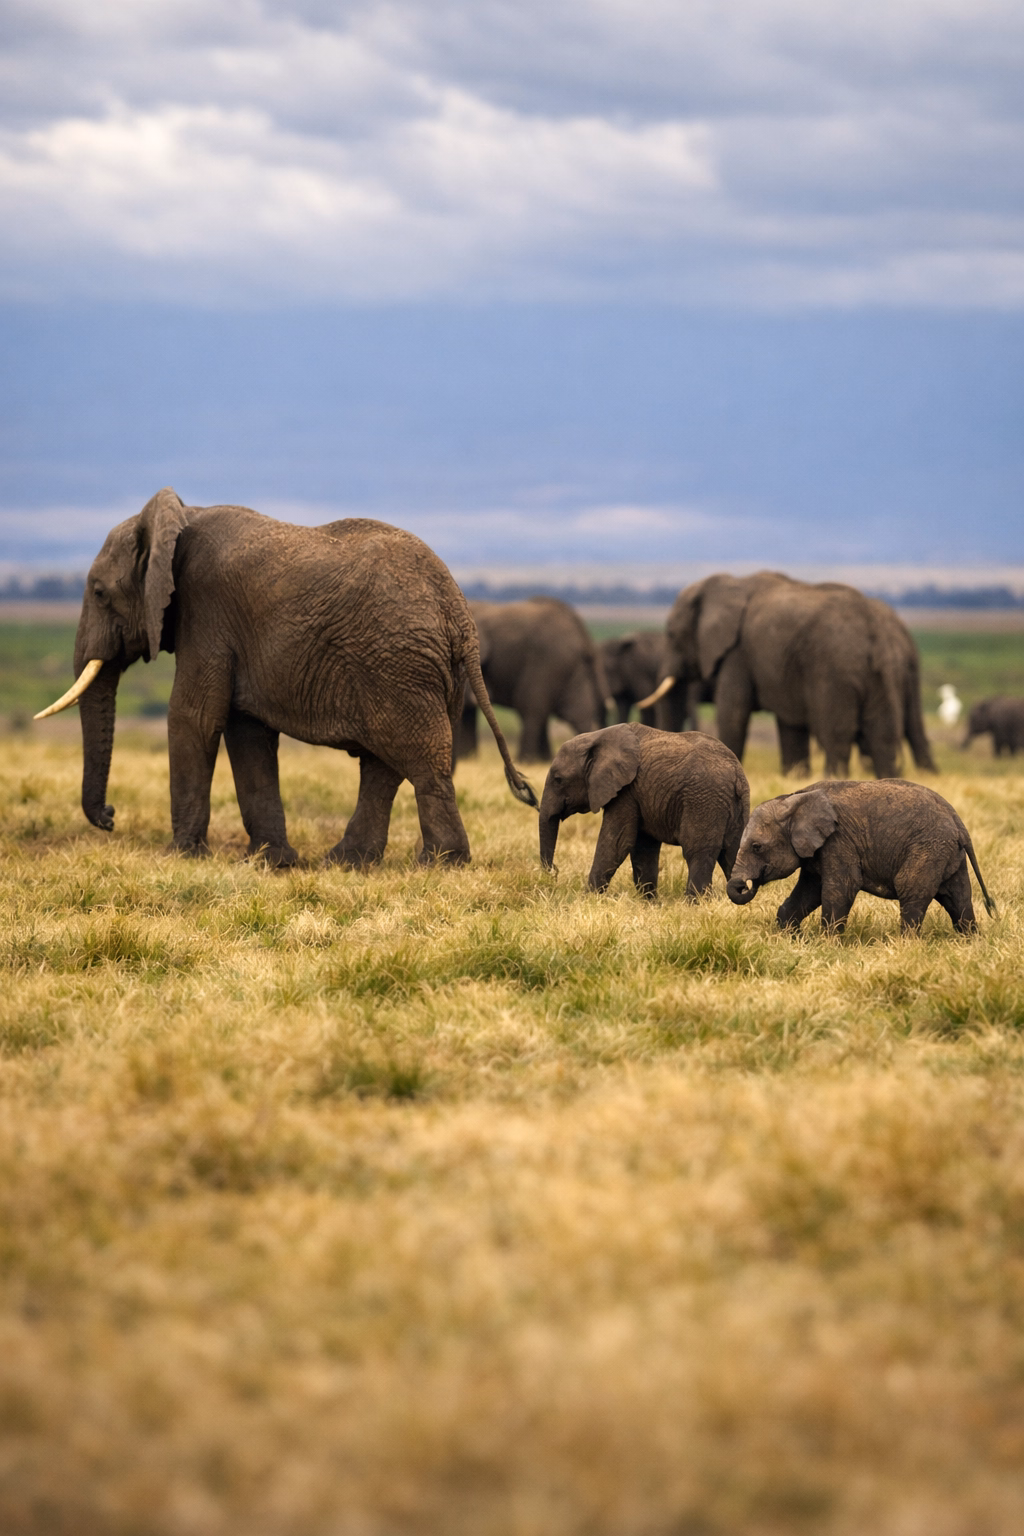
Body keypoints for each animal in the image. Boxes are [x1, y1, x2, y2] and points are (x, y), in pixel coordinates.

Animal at [35, 490, 537, 866]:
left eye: (99, 593)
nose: (110, 816)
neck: (180, 515)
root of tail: (459, 612)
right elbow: (247, 733)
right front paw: (272, 862)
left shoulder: (206, 613)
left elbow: (194, 718)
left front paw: (179, 858)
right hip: (421, 672)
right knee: (386, 765)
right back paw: (347, 862)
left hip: (397, 667)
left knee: (418, 758)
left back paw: (439, 864)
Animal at [457, 597, 607, 763]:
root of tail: (583, 636)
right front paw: (467, 758)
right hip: (573, 669)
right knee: (578, 714)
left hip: (547, 661)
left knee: (532, 710)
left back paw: (525, 760)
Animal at [539, 722, 749, 899]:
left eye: (558, 780)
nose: (554, 873)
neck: (597, 736)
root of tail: (736, 774)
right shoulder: (641, 793)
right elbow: (643, 848)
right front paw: (650, 904)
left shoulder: (626, 791)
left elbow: (616, 843)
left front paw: (586, 900)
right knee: (734, 853)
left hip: (703, 800)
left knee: (697, 852)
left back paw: (695, 904)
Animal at [640, 572, 909, 779]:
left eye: (671, 634)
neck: (728, 582)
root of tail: (873, 631)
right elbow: (791, 726)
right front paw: (795, 778)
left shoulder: (738, 654)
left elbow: (733, 714)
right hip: (886, 671)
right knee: (883, 733)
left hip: (834, 670)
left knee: (837, 734)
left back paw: (835, 781)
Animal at [726, 780, 994, 934]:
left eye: (757, 847)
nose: (746, 885)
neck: (794, 799)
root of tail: (958, 822)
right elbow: (810, 890)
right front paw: (791, 938)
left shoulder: (839, 840)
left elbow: (841, 888)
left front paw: (826, 944)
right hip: (947, 854)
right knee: (958, 897)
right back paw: (969, 942)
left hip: (929, 848)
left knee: (911, 890)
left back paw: (906, 945)